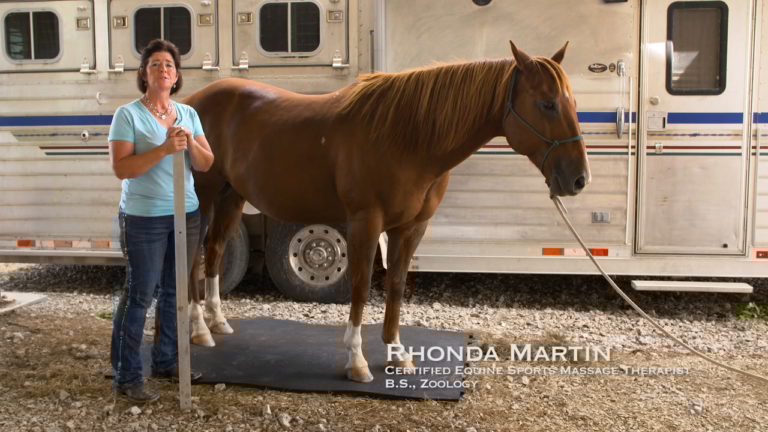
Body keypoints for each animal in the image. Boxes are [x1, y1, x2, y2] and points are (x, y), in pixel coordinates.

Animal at [184, 42, 590, 383]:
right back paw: (199, 329)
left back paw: (218, 322)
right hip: (203, 199)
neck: (407, 138)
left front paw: (396, 353)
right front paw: (357, 361)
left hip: (232, 197)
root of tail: (191, 102)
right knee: (194, 258)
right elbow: (362, 286)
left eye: (572, 102)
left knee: (215, 252)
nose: (578, 179)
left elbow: (395, 285)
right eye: (547, 103)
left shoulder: (411, 228)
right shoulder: (366, 222)